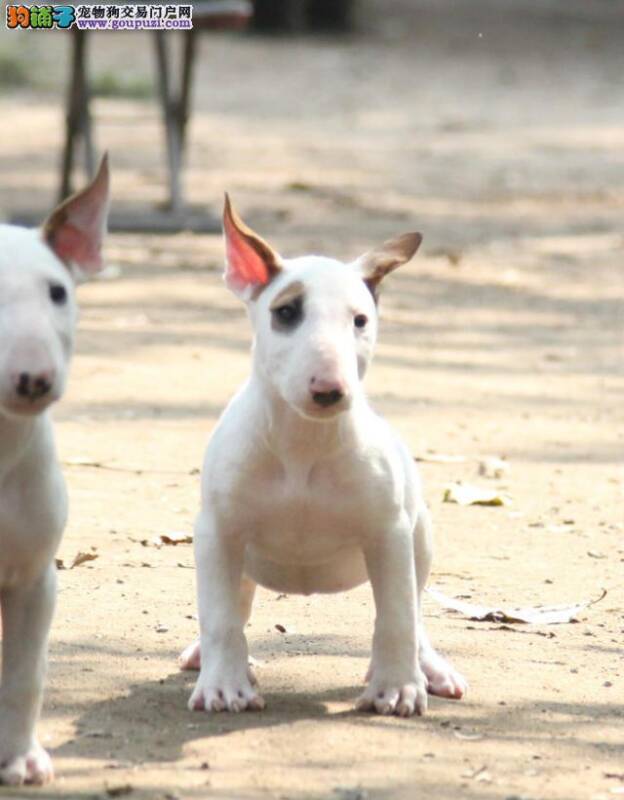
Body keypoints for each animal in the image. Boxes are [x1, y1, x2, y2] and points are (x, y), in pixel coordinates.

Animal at [180, 197, 464, 716]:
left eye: (361, 321)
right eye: (286, 311)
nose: (330, 390)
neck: (302, 443)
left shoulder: (390, 532)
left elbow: (397, 615)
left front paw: (397, 687)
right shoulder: (217, 529)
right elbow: (220, 615)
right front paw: (224, 686)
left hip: (420, 534)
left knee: (414, 609)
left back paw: (431, 669)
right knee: (237, 600)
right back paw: (205, 657)